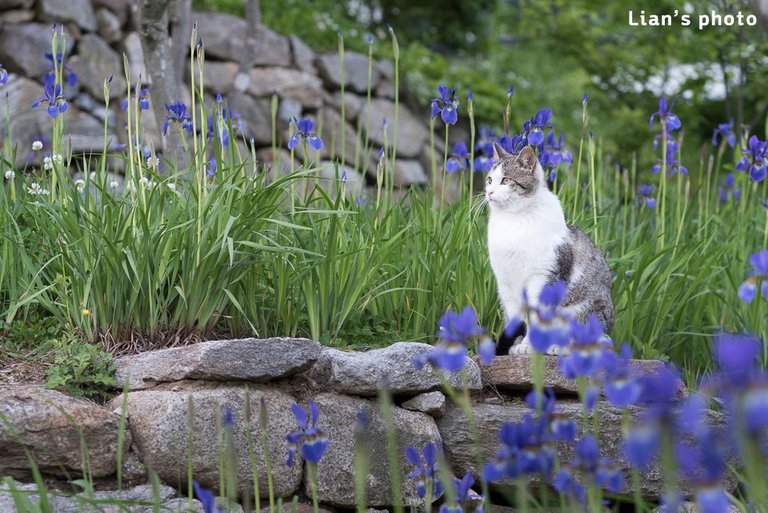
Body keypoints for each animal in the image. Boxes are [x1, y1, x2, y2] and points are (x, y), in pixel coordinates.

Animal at [488, 142, 616, 354]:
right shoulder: (505, 281)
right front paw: (517, 344)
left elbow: (536, 317)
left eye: (505, 180)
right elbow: (517, 317)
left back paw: (559, 348)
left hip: (584, 312)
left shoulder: (542, 277)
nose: (488, 192)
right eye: (489, 180)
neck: (513, 218)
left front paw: (529, 345)